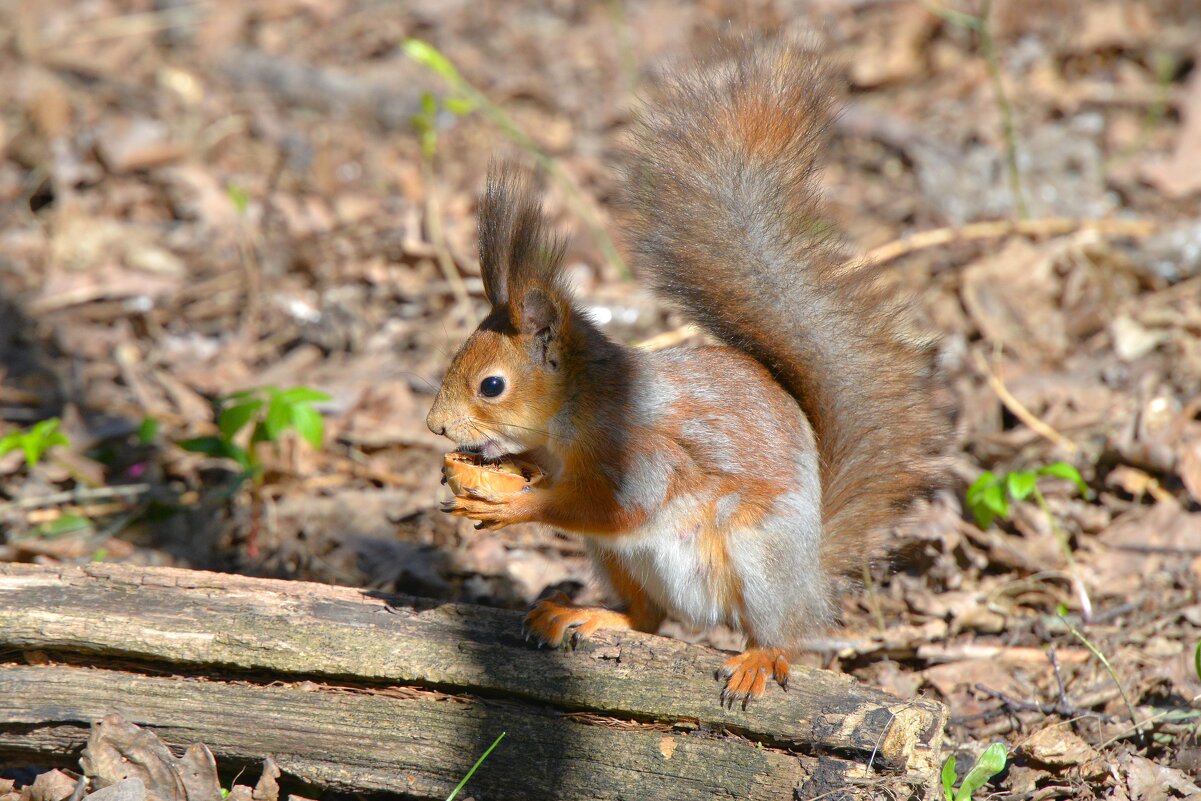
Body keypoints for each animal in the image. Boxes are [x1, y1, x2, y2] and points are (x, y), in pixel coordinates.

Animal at [425, 39, 947, 706]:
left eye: (492, 385)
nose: (436, 427)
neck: (579, 412)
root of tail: (811, 576)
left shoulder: (642, 455)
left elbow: (617, 508)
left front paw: (510, 505)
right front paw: (500, 475)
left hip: (759, 555)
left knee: (779, 633)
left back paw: (759, 657)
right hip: (623, 562)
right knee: (649, 617)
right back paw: (583, 613)